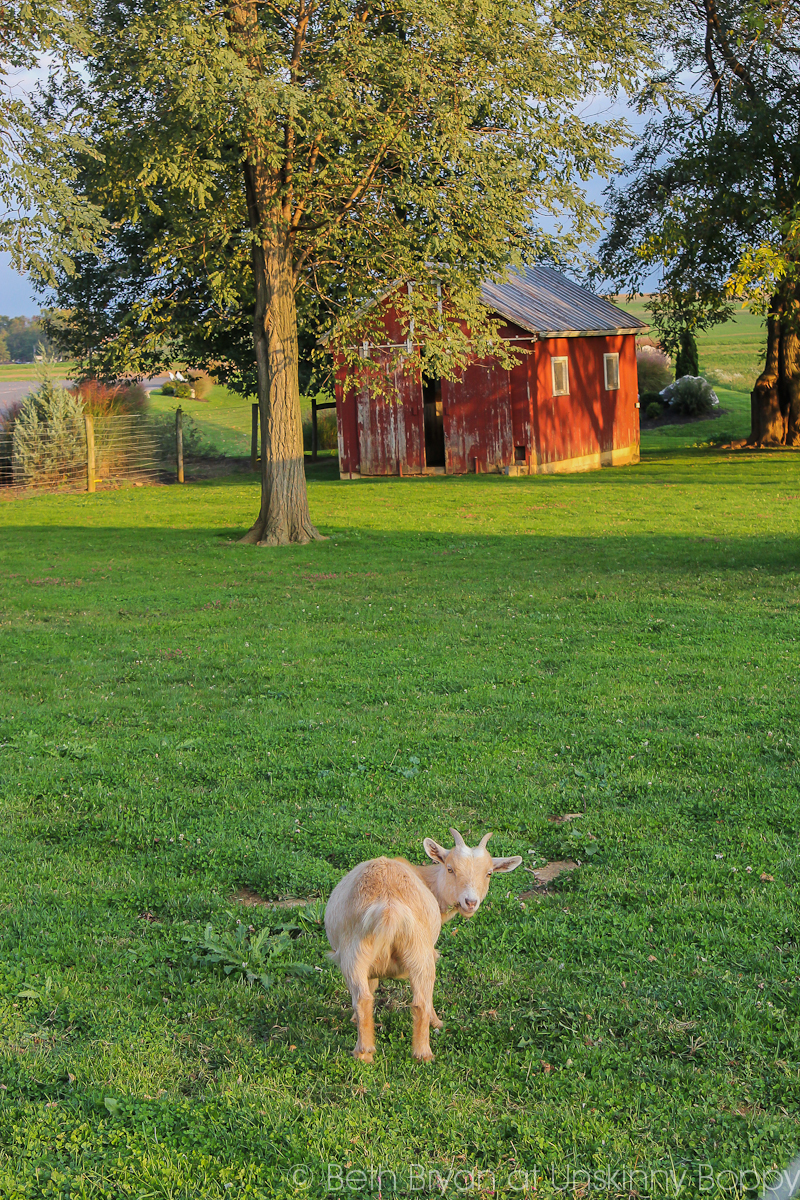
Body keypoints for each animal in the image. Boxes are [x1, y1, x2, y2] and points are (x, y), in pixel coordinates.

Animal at [326, 830, 525, 1065]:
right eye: (450, 868)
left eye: (489, 873)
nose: (470, 902)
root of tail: (389, 908)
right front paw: (438, 1023)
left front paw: (353, 1019)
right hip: (419, 950)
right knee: (421, 1000)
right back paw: (423, 1050)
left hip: (358, 951)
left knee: (365, 998)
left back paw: (366, 1053)